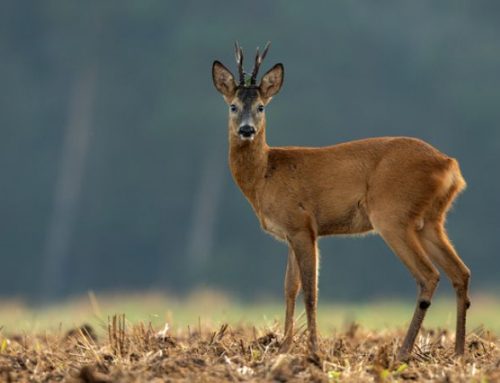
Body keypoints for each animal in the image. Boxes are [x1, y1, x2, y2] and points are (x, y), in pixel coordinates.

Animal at [213, 43, 470, 362]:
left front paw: (313, 350)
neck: (264, 174)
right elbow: (289, 288)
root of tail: (450, 166)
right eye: (233, 106)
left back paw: (403, 352)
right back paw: (458, 353)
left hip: (392, 215)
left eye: (261, 107)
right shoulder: (291, 233)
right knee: (460, 272)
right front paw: (283, 349)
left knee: (429, 275)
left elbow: (310, 290)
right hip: (430, 221)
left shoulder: (302, 225)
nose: (246, 130)